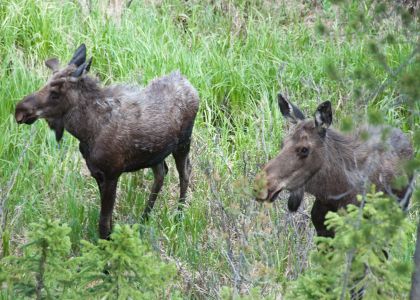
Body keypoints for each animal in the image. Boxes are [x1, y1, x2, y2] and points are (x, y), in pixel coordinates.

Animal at [14, 44, 200, 238]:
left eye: (55, 93)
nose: (20, 110)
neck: (86, 133)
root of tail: (188, 83)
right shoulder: (97, 173)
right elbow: (108, 220)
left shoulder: (112, 172)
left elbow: (103, 222)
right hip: (155, 154)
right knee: (161, 173)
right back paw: (144, 219)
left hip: (183, 143)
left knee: (185, 172)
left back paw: (178, 216)